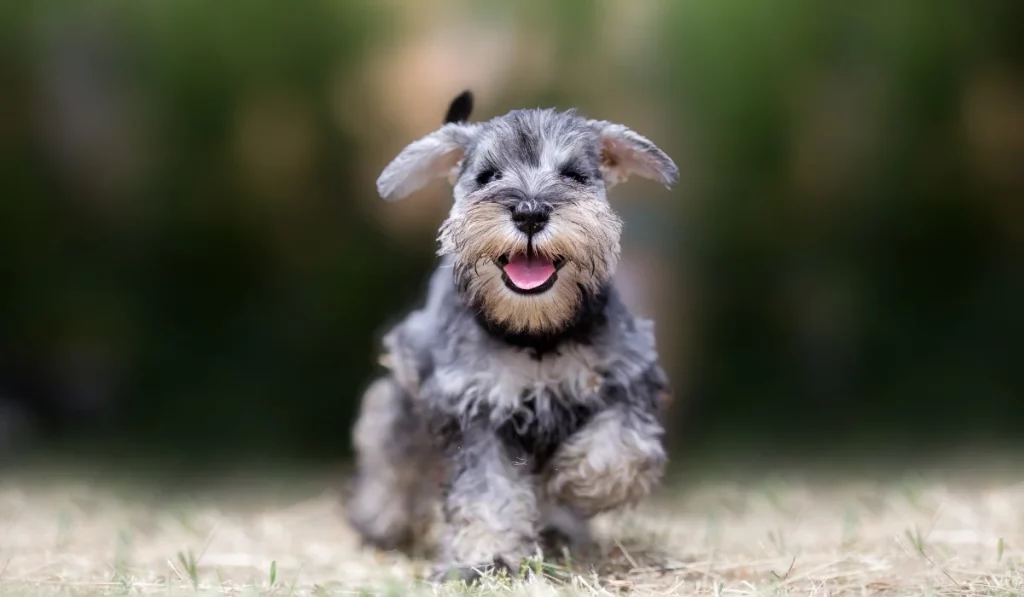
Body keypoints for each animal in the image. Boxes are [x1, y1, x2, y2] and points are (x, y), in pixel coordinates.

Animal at [346, 91, 679, 581]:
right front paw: (487, 557)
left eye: (573, 175)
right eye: (488, 176)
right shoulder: (475, 408)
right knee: (391, 455)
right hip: (403, 402)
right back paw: (380, 521)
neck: (535, 333)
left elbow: (621, 449)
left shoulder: (627, 378)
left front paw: (574, 484)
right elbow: (487, 492)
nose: (530, 212)